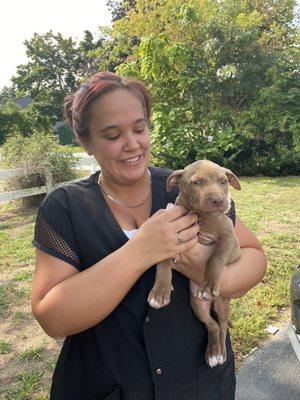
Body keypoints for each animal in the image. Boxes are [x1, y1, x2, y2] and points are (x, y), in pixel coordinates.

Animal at [148, 161, 241, 368]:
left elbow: (215, 259)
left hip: (223, 304)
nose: (219, 200)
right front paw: (159, 292)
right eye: (197, 182)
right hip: (198, 306)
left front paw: (208, 286)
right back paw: (213, 353)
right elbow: (162, 264)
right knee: (212, 325)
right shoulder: (168, 237)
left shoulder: (228, 238)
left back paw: (220, 353)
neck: (200, 216)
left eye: (223, 181)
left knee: (222, 326)